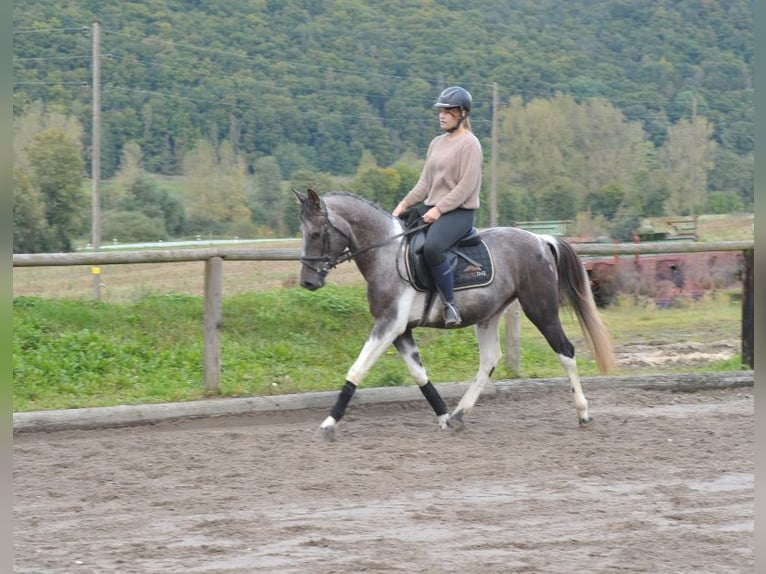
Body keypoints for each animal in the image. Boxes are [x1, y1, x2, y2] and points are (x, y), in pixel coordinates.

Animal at [294, 189, 616, 440]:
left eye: (317, 233)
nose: (307, 282)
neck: (386, 254)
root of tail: (540, 240)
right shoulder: (401, 330)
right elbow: (419, 374)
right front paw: (444, 417)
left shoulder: (388, 325)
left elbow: (357, 370)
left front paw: (328, 424)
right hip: (489, 315)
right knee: (489, 360)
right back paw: (460, 414)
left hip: (541, 309)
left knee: (566, 352)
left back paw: (583, 413)